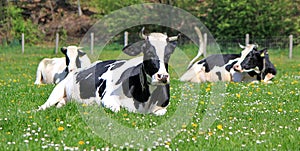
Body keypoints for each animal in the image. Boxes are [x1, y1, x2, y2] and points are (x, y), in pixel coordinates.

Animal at [36, 28, 179, 115]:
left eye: (169, 53)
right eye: (147, 51)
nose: (162, 76)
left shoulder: (162, 108)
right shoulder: (109, 98)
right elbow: (117, 110)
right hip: (58, 89)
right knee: (45, 105)